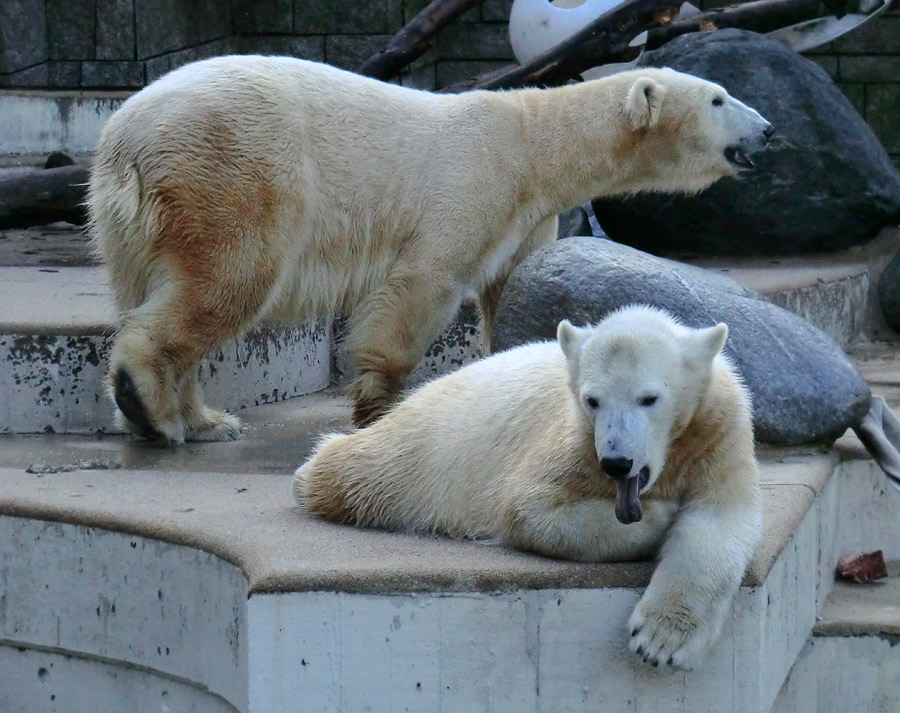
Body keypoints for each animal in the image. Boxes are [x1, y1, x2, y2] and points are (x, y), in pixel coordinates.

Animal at [89, 55, 772, 442]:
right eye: (718, 97)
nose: (767, 129)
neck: (531, 143)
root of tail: (125, 132)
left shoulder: (525, 216)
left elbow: (509, 292)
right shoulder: (471, 184)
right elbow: (426, 283)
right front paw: (376, 406)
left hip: (130, 221)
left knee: (158, 289)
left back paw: (205, 421)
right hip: (233, 168)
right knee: (228, 280)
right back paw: (152, 410)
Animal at [298, 306, 764, 668]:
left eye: (649, 398)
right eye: (592, 400)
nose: (617, 463)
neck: (674, 451)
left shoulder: (718, 434)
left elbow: (718, 520)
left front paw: (661, 640)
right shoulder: (575, 446)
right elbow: (530, 508)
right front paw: (660, 517)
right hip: (428, 448)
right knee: (359, 473)